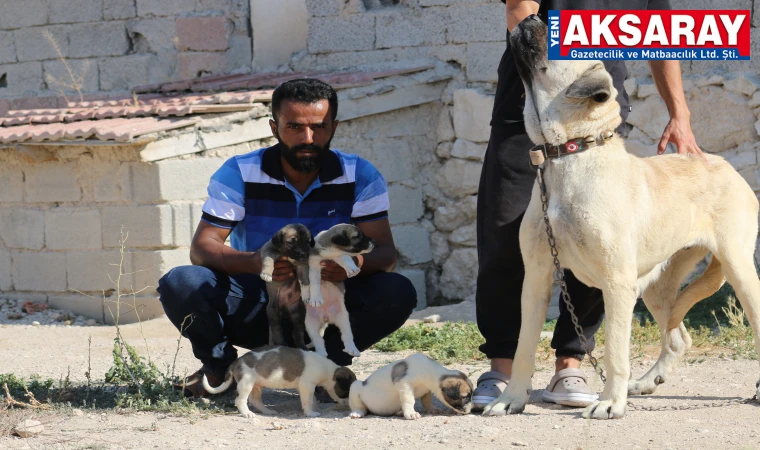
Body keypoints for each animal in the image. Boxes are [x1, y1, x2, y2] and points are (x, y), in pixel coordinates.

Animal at [202, 344, 356, 418]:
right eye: (347, 392)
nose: (348, 405)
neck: (330, 371)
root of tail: (237, 361)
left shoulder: (304, 387)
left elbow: (312, 399)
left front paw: (314, 407)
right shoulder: (307, 385)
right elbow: (307, 401)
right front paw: (311, 413)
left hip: (256, 385)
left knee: (255, 401)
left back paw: (267, 411)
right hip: (246, 383)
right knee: (240, 400)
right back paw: (247, 413)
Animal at [484, 15, 760, 420]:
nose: (531, 16)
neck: (570, 155)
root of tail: (725, 165)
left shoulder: (616, 283)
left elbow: (615, 351)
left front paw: (610, 402)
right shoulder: (536, 277)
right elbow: (522, 348)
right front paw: (511, 398)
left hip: (738, 269)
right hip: (657, 287)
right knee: (679, 337)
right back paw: (646, 382)